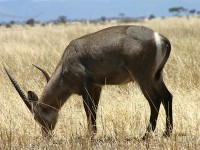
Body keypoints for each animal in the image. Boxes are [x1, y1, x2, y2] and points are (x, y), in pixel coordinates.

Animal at [5, 25, 173, 138]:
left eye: (35, 116)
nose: (46, 136)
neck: (65, 65)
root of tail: (160, 38)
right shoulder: (97, 87)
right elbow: (94, 109)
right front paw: (93, 133)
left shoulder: (85, 87)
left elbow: (88, 109)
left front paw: (89, 135)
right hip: (156, 78)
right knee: (167, 97)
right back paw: (166, 133)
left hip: (143, 78)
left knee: (155, 100)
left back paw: (146, 135)